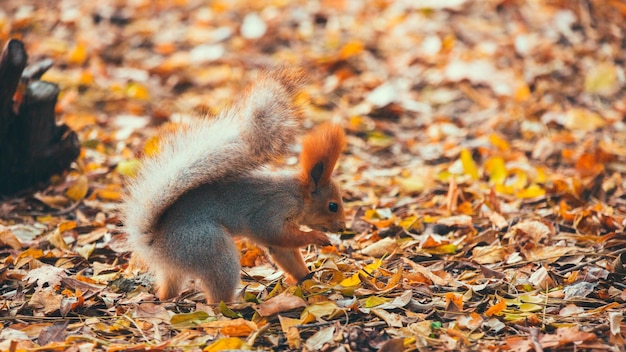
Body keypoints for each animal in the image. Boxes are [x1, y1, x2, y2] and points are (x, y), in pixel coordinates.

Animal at [122, 68, 346, 302]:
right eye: (333, 206)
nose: (342, 227)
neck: (298, 194)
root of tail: (154, 244)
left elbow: (284, 252)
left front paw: (306, 278)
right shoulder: (272, 211)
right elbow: (276, 233)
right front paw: (316, 237)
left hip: (174, 268)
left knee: (168, 289)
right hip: (211, 249)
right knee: (217, 297)